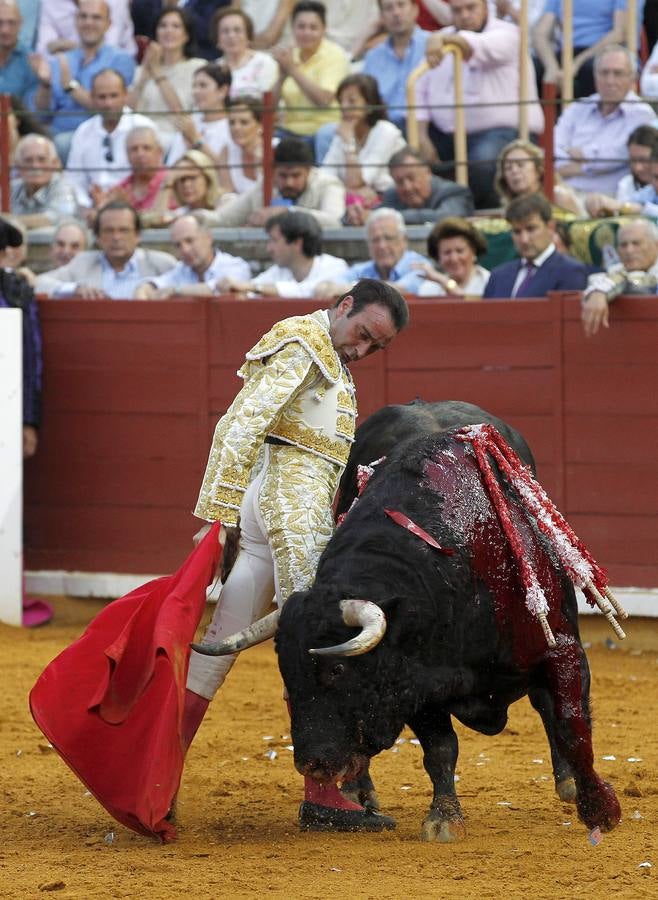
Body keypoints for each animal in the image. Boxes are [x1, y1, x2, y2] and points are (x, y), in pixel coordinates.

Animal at [272, 404, 620, 840]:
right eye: (287, 673)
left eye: (336, 670)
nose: (311, 764)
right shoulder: (418, 681)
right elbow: (440, 749)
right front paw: (444, 817)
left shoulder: (562, 648)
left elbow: (572, 724)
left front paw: (600, 808)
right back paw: (356, 791)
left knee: (546, 707)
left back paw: (569, 781)